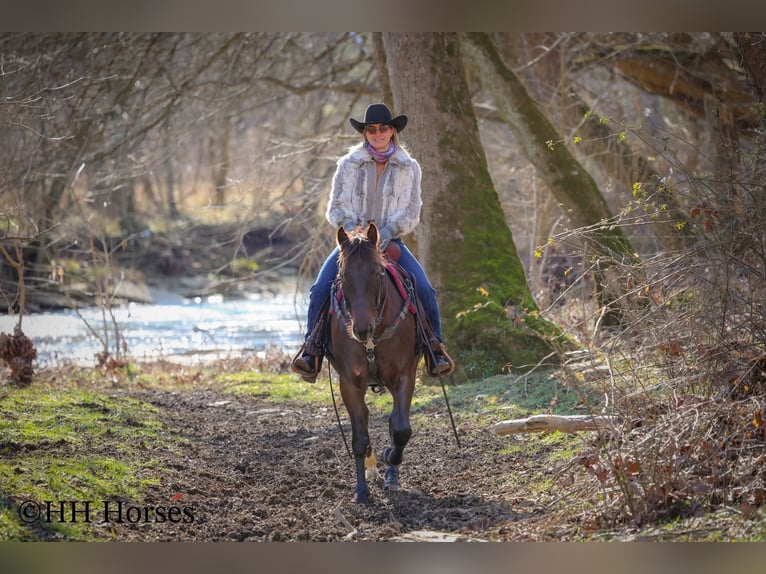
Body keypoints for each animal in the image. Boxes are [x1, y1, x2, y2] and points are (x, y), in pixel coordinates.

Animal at [327, 222, 421, 503]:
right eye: (343, 276)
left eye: (378, 273)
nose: (361, 329)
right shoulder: (349, 382)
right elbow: (359, 438)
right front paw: (361, 492)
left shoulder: (404, 375)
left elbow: (400, 429)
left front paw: (390, 457)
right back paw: (371, 470)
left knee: (393, 422)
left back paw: (389, 474)